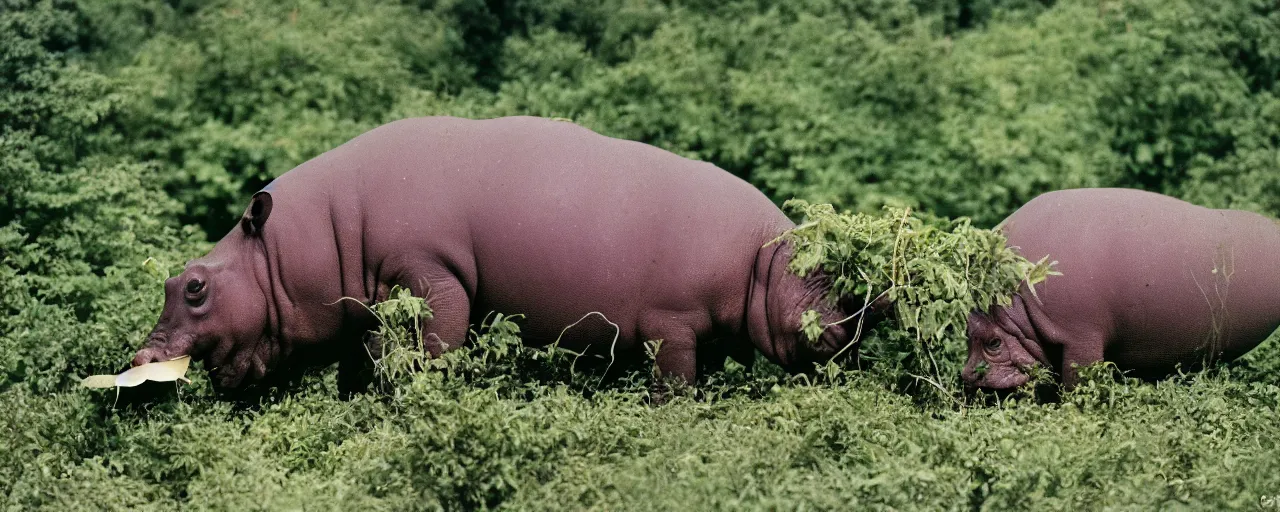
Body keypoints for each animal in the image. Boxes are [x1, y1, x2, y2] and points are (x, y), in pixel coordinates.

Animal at [962, 185, 1280, 389]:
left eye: (993, 343)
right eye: (967, 331)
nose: (967, 377)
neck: (1016, 304)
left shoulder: (1080, 335)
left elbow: (1077, 380)